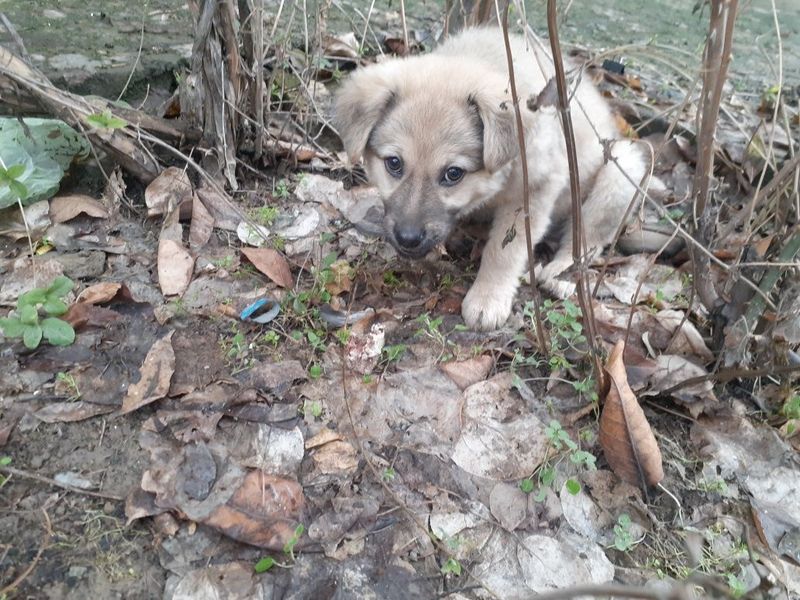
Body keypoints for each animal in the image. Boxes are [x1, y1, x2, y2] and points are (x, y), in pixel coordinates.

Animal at [334, 25, 648, 330]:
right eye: (394, 164)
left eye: (453, 173)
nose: (408, 239)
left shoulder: (535, 191)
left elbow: (503, 251)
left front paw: (488, 298)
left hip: (621, 171)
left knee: (587, 240)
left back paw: (561, 273)